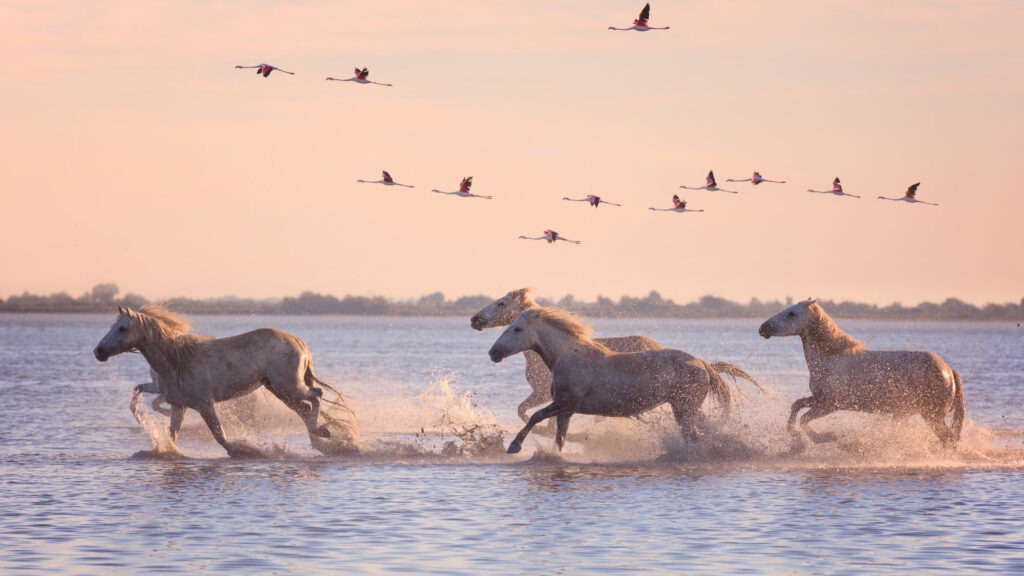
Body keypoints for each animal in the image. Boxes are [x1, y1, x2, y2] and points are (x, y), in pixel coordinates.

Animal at [95, 303, 356, 455]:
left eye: (122, 328)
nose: (98, 352)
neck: (177, 360)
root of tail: (299, 342)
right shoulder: (179, 404)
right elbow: (169, 431)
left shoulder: (204, 404)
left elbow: (220, 436)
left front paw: (245, 451)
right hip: (279, 389)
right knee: (305, 408)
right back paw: (323, 441)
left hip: (289, 386)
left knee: (316, 396)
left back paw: (324, 433)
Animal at [489, 305, 737, 453]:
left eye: (517, 329)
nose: (493, 352)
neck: (568, 355)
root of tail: (702, 364)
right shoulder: (566, 411)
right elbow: (559, 438)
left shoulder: (565, 403)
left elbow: (535, 417)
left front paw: (514, 446)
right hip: (687, 409)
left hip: (685, 409)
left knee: (695, 437)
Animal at [757, 297, 962, 446]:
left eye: (791, 313)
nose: (763, 328)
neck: (831, 358)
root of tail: (949, 371)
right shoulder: (818, 398)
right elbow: (796, 406)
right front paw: (795, 437)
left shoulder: (830, 404)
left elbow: (804, 419)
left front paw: (825, 437)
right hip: (907, 414)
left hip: (932, 417)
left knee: (950, 440)